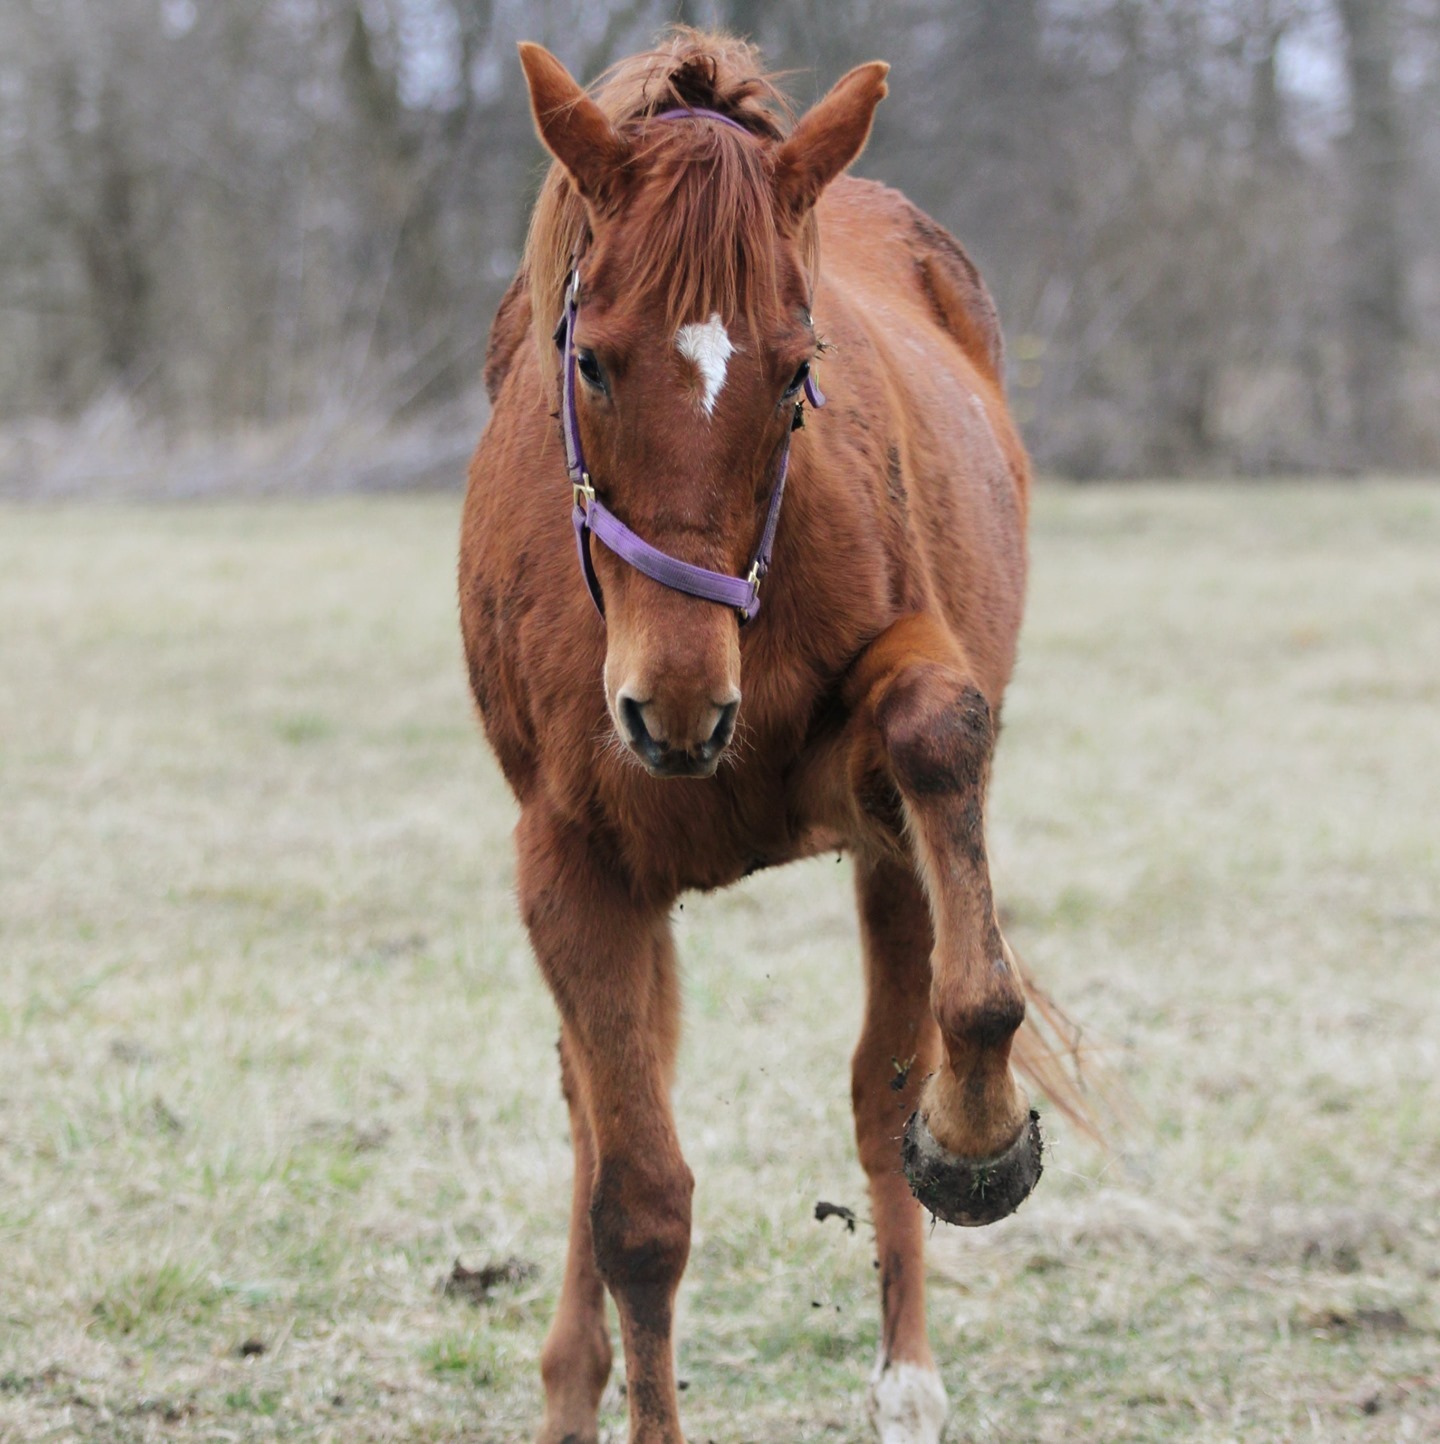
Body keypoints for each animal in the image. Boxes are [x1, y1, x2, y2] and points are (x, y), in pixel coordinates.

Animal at [460, 30, 1088, 1444]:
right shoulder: (571, 868)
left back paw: (909, 1369)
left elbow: (938, 729)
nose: (678, 702)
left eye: (799, 370)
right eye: (591, 360)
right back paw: (571, 1383)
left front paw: (977, 1135)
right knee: (596, 1118)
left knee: (878, 1082)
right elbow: (636, 1204)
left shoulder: (871, 770)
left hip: (885, 865)